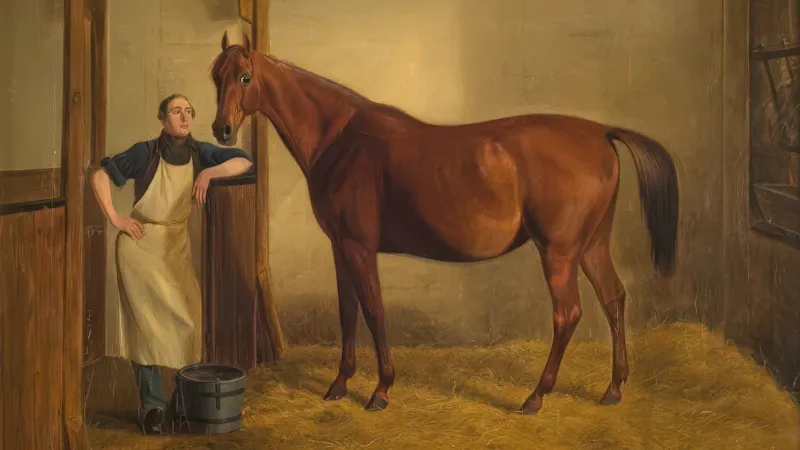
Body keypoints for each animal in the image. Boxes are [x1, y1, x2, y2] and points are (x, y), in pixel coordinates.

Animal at [209, 31, 679, 415]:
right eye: (216, 76)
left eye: (245, 78)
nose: (222, 129)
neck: (341, 140)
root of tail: (600, 133)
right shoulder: (340, 247)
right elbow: (348, 312)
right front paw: (340, 384)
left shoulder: (359, 247)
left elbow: (374, 311)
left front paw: (381, 389)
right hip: (592, 245)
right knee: (614, 299)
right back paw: (613, 389)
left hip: (559, 252)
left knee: (568, 315)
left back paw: (535, 397)